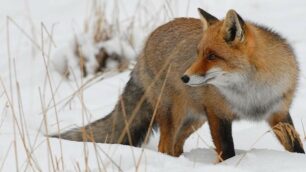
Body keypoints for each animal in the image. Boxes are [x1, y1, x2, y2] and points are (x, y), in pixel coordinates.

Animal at [52, 8, 304, 161]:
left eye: (212, 56)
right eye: (198, 53)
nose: (184, 77)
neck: (251, 94)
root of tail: (145, 44)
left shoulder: (278, 112)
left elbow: (295, 147)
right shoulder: (218, 113)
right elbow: (227, 150)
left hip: (194, 120)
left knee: (175, 147)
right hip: (173, 114)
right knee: (165, 146)